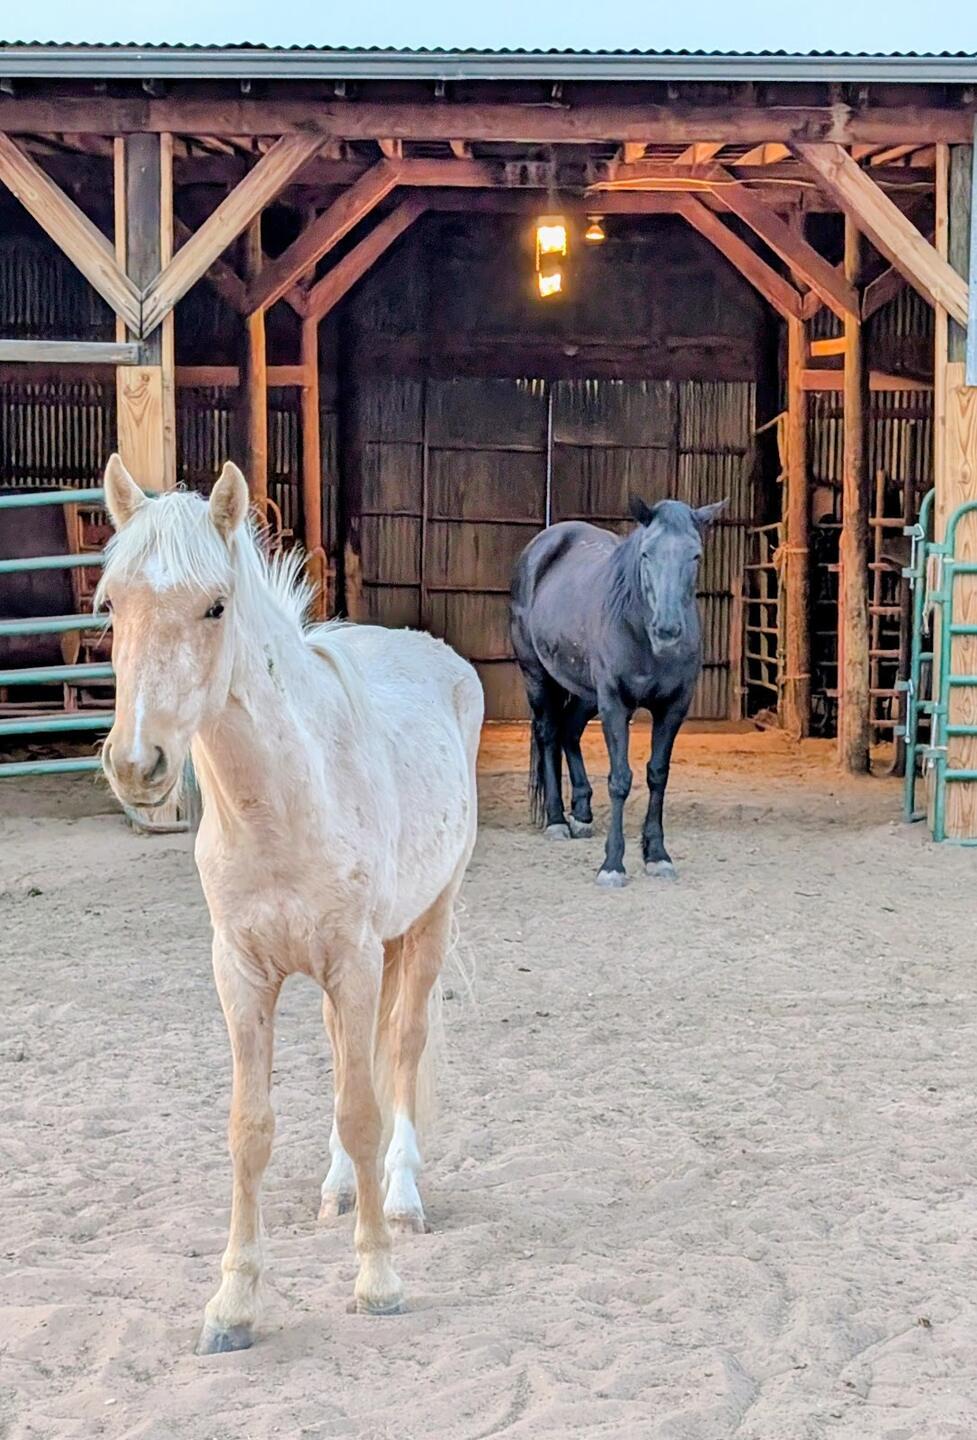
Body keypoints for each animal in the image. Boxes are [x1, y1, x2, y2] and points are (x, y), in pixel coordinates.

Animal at [96, 455, 483, 1354]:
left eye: (215, 605)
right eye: (112, 602)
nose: (137, 764)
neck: (282, 800)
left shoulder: (355, 961)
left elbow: (364, 1108)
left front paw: (377, 1280)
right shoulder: (242, 972)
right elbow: (252, 1128)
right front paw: (232, 1304)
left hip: (426, 927)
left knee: (399, 1053)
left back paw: (400, 1199)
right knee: (353, 1059)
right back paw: (342, 1191)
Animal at [510, 496, 726, 887]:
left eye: (696, 555)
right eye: (646, 553)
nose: (667, 630)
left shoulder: (673, 707)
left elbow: (658, 774)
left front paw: (657, 855)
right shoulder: (615, 703)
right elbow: (620, 779)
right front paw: (612, 864)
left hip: (585, 693)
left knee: (569, 731)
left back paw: (581, 813)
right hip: (538, 676)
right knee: (548, 734)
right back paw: (556, 820)